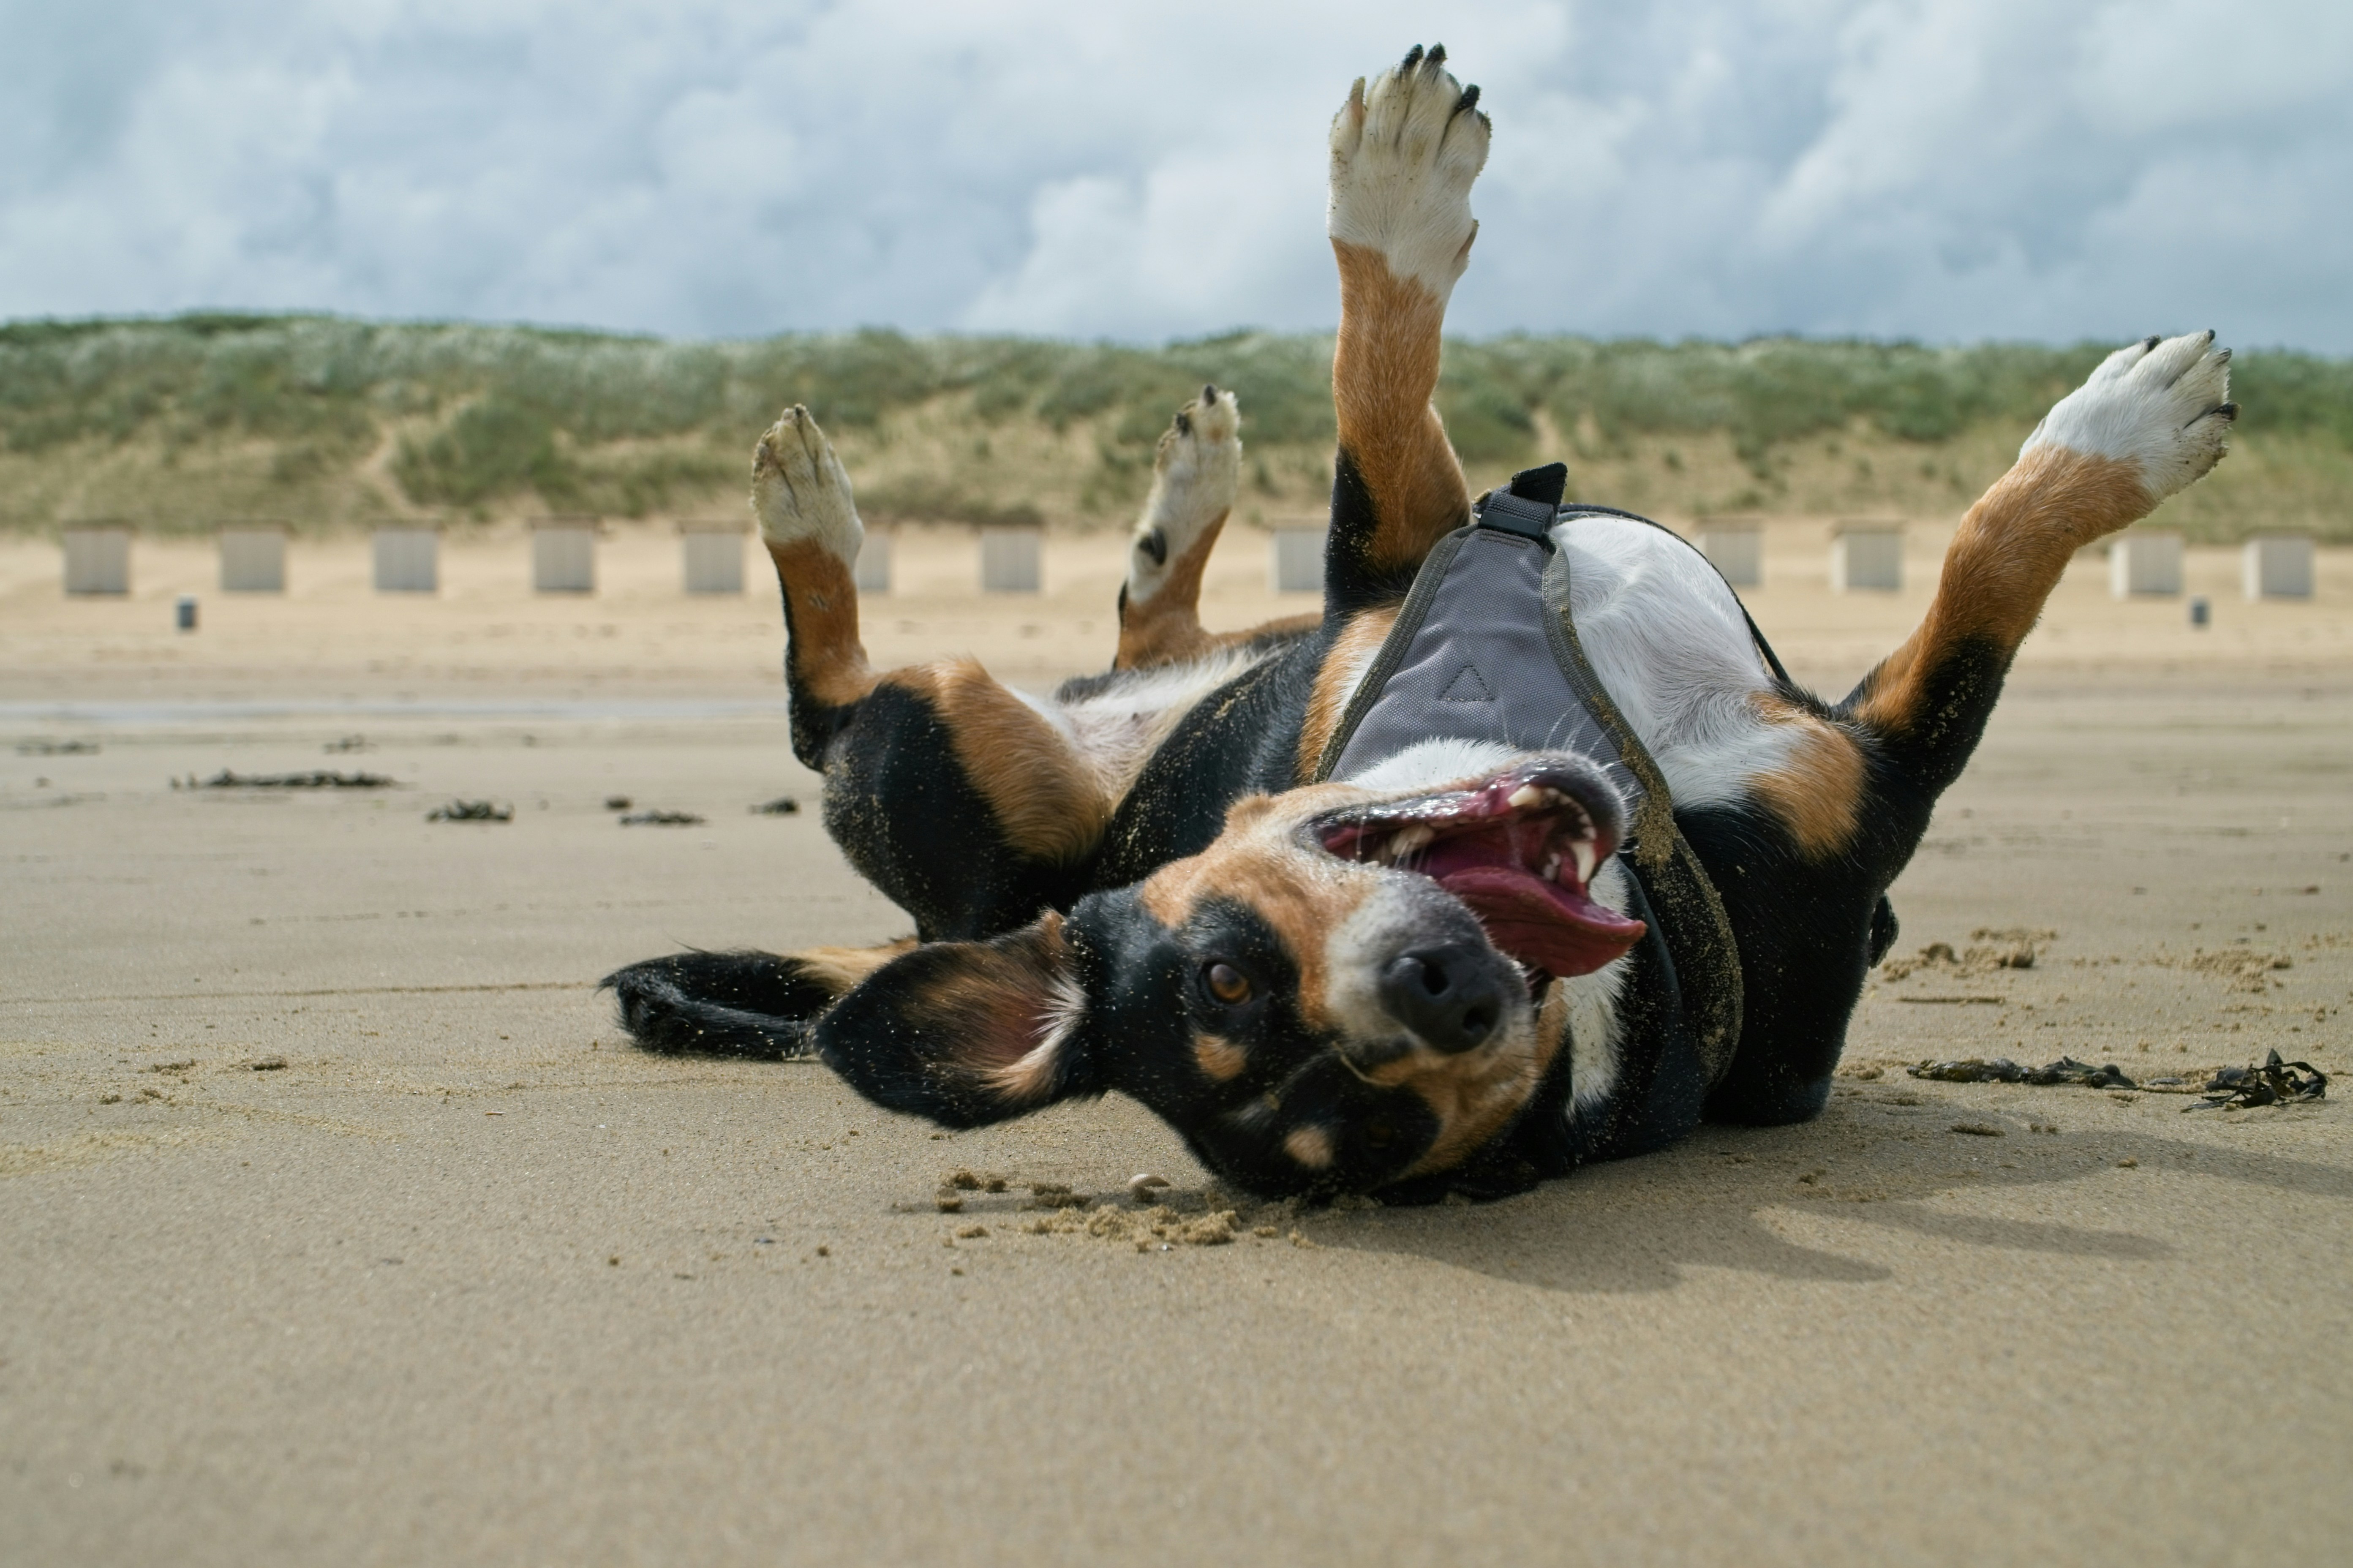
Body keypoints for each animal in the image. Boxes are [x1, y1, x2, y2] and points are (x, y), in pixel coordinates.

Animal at [602, 46, 2221, 1196]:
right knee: (821, 698)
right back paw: (809, 513)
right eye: (1390, 1121)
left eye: (1227, 963)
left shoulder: (1416, 568)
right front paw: (2129, 433)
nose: (1433, 992)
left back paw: (1176, 500)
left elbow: (1376, 378)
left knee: (1141, 632)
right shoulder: (1864, 761)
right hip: (927, 741)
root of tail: (1003, 907)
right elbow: (1986, 570)